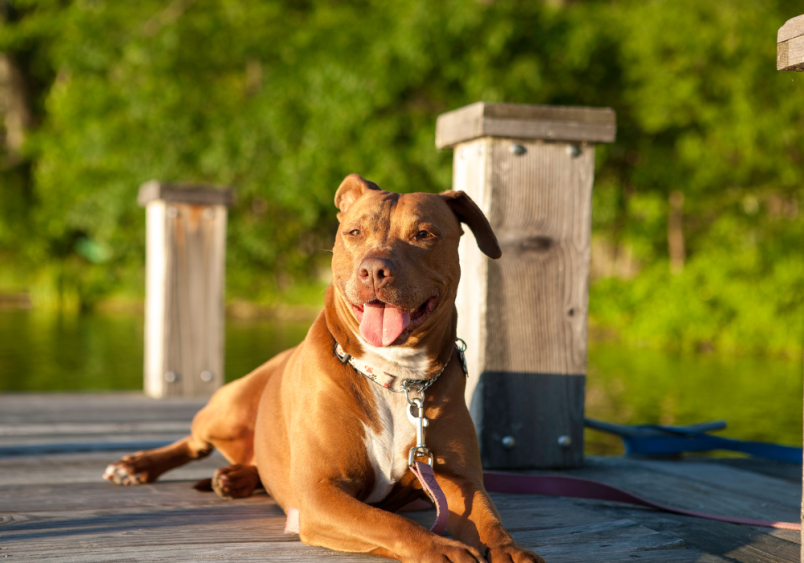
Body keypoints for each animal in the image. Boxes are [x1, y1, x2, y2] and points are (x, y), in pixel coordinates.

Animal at [103, 174, 544, 560]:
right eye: (354, 233)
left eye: (424, 234)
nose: (374, 270)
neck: (397, 377)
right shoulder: (320, 495)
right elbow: (392, 524)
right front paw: (441, 548)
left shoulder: (460, 480)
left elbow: (489, 519)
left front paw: (510, 550)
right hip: (228, 409)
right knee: (193, 442)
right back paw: (135, 465)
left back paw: (236, 477)